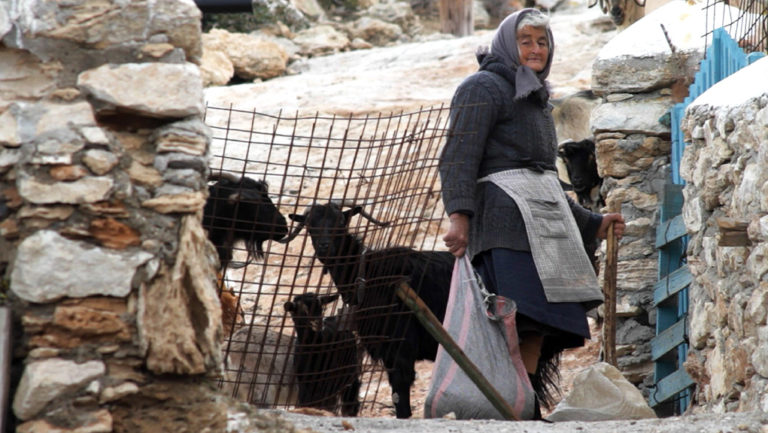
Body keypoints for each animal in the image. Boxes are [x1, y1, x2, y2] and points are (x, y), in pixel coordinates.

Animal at [280, 201, 452, 416]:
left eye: (341, 222)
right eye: (310, 226)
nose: (324, 247)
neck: (369, 276)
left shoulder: (400, 349)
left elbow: (401, 404)